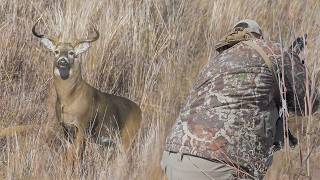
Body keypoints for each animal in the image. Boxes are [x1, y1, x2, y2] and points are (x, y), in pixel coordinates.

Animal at [31, 21, 142, 165]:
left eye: (72, 53)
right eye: (56, 51)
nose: (62, 60)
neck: (69, 99)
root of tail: (140, 111)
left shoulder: (82, 125)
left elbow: (74, 155)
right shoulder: (65, 128)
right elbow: (71, 155)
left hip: (128, 136)